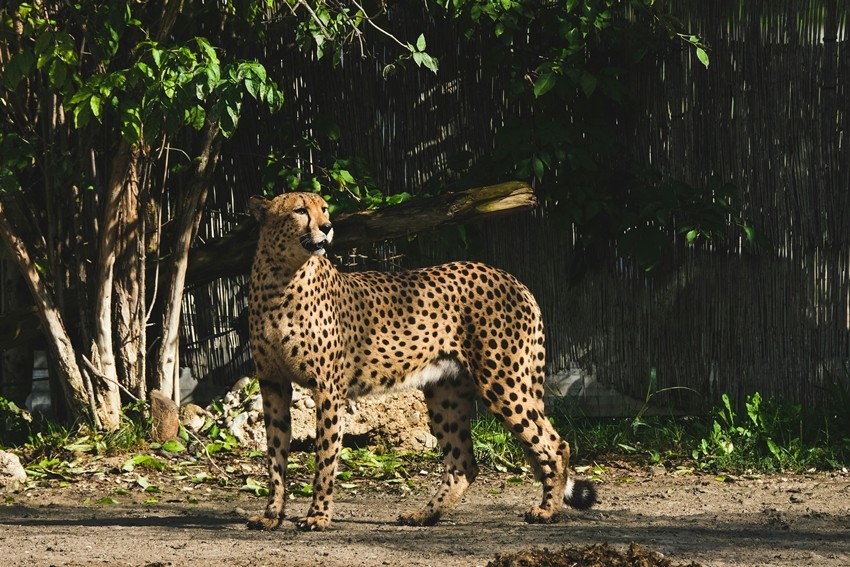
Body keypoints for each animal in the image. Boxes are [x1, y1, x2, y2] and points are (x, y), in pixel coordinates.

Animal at [246, 191, 596, 532]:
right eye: (300, 210)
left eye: (324, 208)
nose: (328, 226)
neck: (281, 278)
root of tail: (509, 276)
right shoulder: (273, 383)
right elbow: (275, 454)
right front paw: (271, 515)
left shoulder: (328, 388)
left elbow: (325, 457)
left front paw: (318, 516)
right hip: (446, 392)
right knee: (464, 463)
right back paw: (424, 515)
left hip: (503, 381)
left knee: (555, 444)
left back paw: (547, 510)